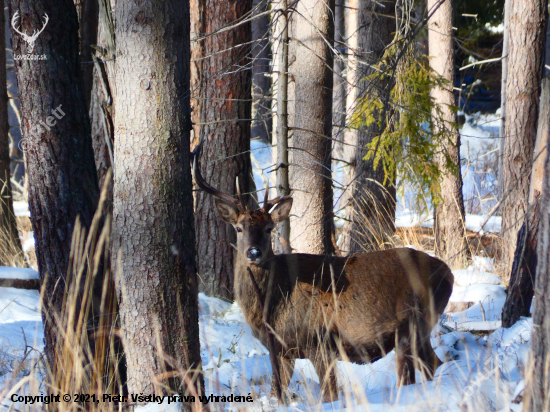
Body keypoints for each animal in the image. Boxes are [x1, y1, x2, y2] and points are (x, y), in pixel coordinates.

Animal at [192, 149, 454, 402]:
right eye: (239, 228)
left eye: (269, 229)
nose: (253, 252)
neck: (272, 304)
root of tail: (448, 274)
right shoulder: (283, 350)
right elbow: (278, 393)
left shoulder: (319, 342)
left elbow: (329, 395)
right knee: (433, 366)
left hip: (414, 323)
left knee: (419, 372)